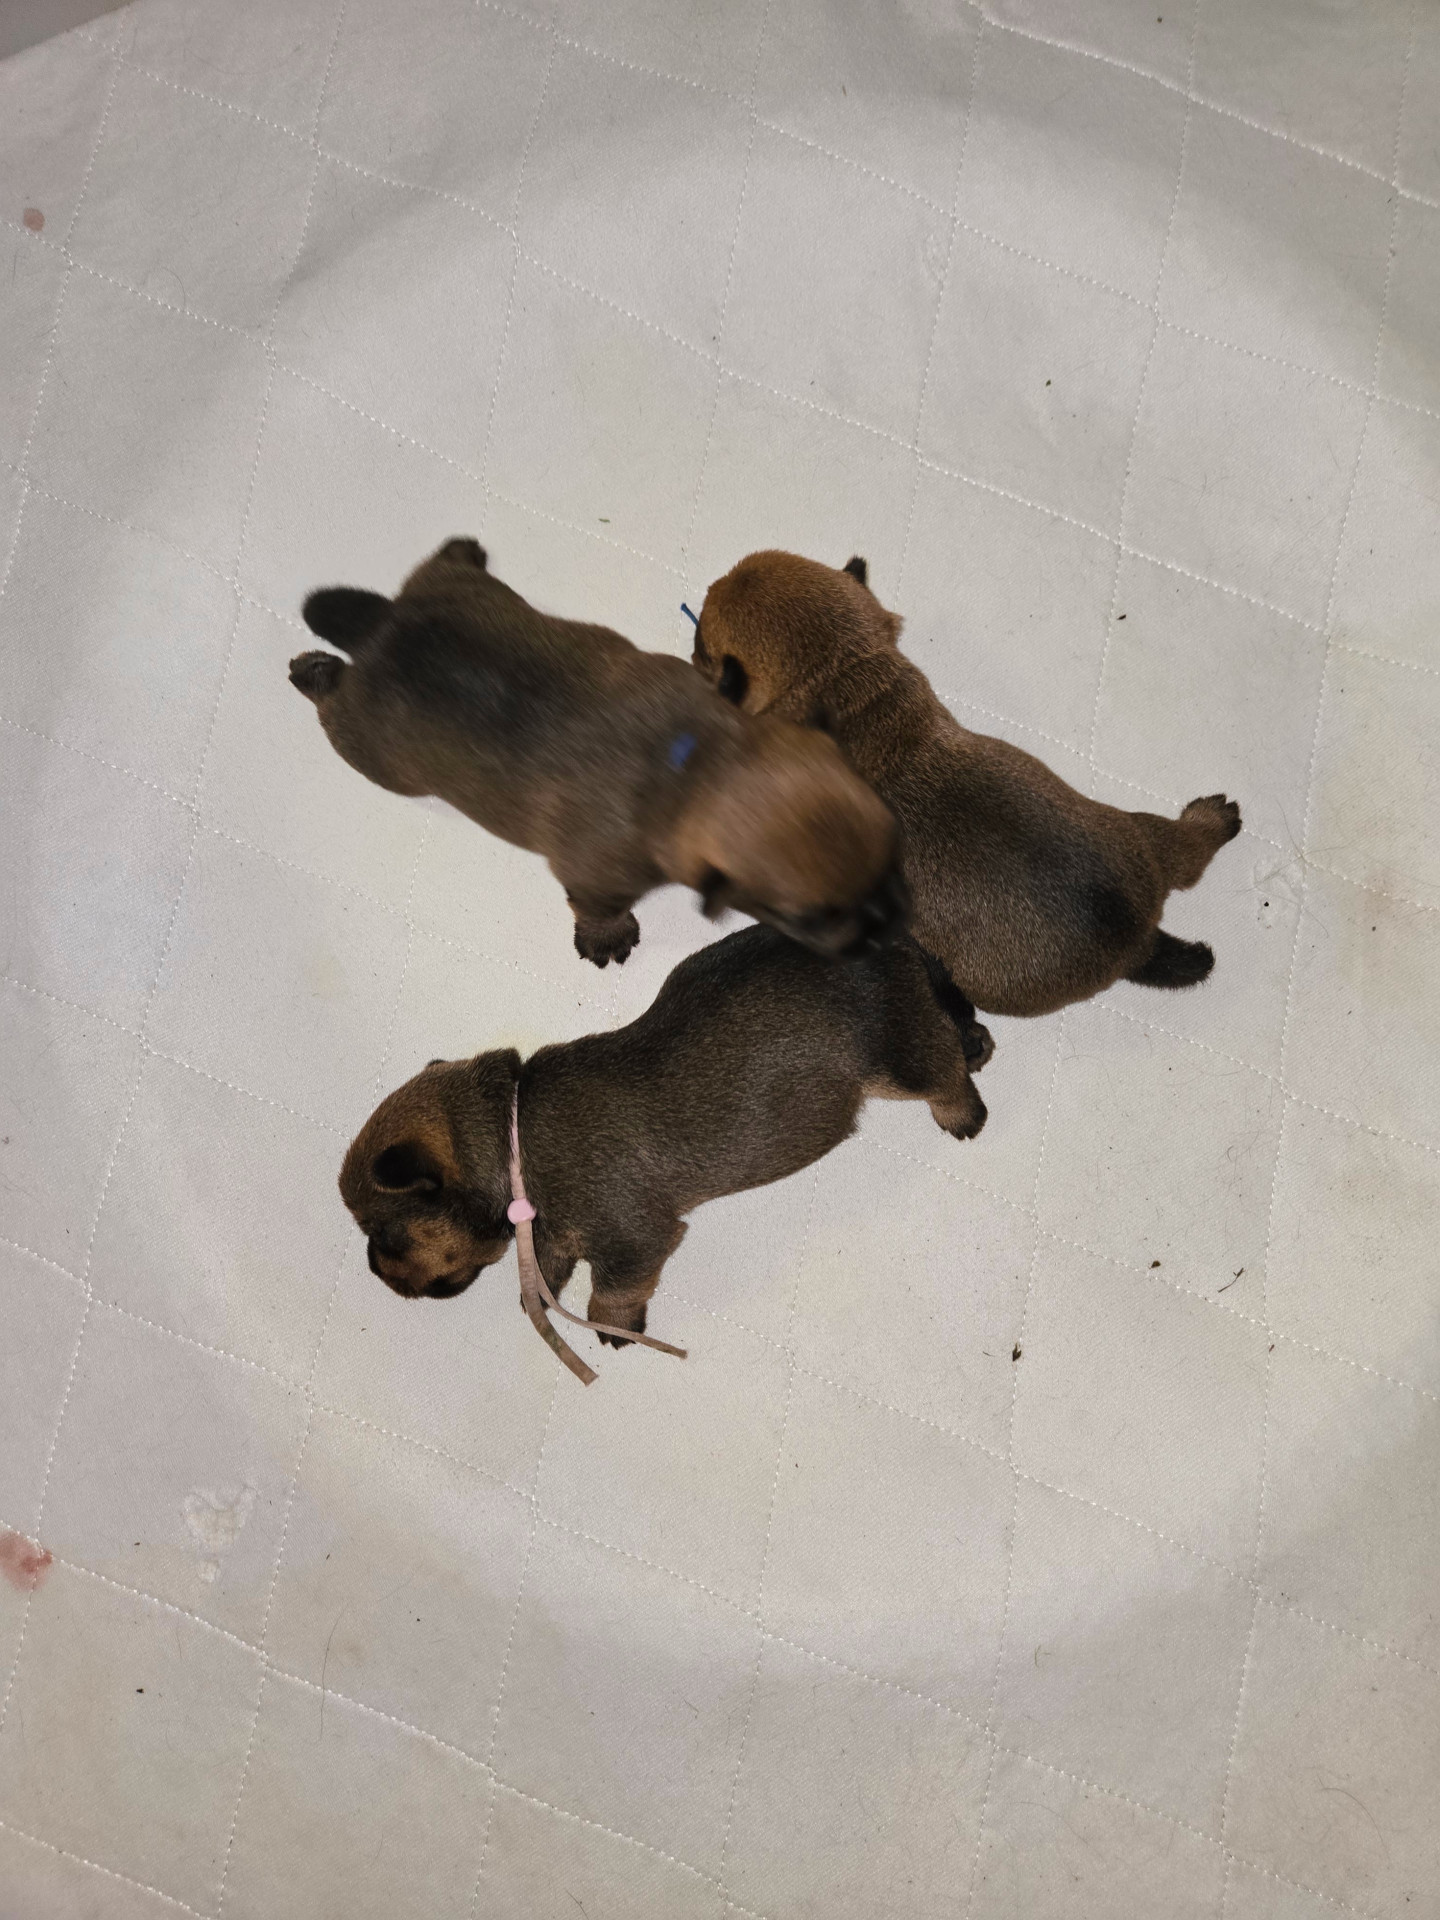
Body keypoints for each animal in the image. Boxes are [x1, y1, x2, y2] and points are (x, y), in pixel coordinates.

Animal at [289, 538, 906, 966]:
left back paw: (466, 548)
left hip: (452, 586)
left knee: (441, 560)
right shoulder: (593, 878)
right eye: (808, 918)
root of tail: (382, 628)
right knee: (333, 707)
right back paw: (313, 672)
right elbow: (596, 907)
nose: (890, 929)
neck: (694, 763)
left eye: (889, 856)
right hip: (373, 751)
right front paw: (607, 938)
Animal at [339, 923, 989, 1352]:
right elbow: (548, 1262)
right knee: (955, 1025)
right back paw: (978, 1044)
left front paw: (612, 1327)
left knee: (943, 1069)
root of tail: (893, 938)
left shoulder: (634, 1240)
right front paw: (541, 1290)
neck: (511, 1136)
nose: (371, 1267)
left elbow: (613, 1290)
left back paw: (962, 1114)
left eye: (383, 1234)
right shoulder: (553, 1230)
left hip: (897, 1058)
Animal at [692, 550, 1242, 1019]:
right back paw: (1214, 819)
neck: (850, 687)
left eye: (702, 647)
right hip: (1137, 833)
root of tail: (1138, 944)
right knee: (1186, 854)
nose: (692, 653)